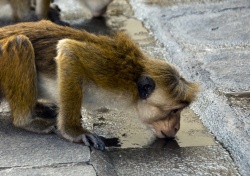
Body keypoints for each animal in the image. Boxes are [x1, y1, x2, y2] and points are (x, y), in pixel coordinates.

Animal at [0, 20, 199, 150]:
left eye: (179, 111)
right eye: (174, 111)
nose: (176, 127)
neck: (132, 83)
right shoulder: (110, 72)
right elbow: (69, 50)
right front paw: (75, 132)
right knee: (20, 43)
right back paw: (26, 120)